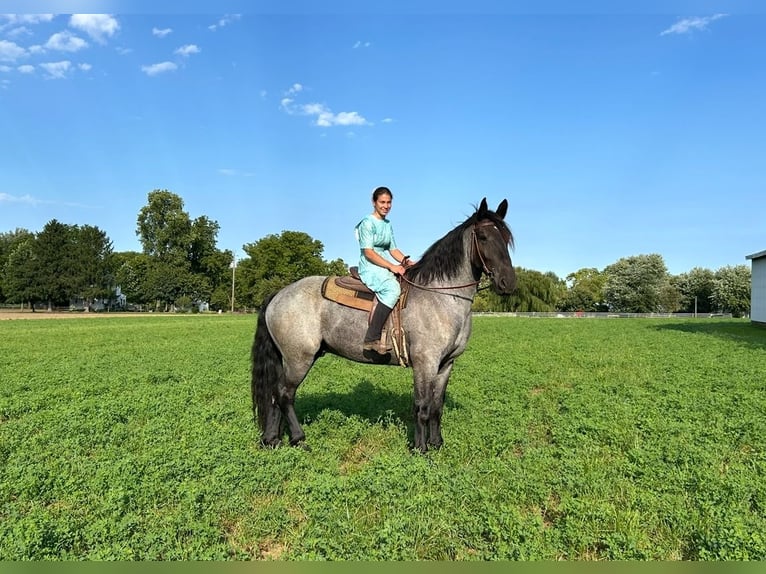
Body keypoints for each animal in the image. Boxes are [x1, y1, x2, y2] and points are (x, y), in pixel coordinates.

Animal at [250, 199, 516, 454]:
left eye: (505, 238)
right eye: (483, 237)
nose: (508, 282)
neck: (440, 296)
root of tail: (279, 294)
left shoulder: (446, 364)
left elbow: (436, 407)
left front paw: (437, 443)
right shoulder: (425, 363)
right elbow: (422, 406)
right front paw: (420, 449)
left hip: (291, 358)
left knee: (274, 396)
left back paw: (272, 440)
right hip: (299, 359)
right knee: (285, 395)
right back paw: (299, 439)